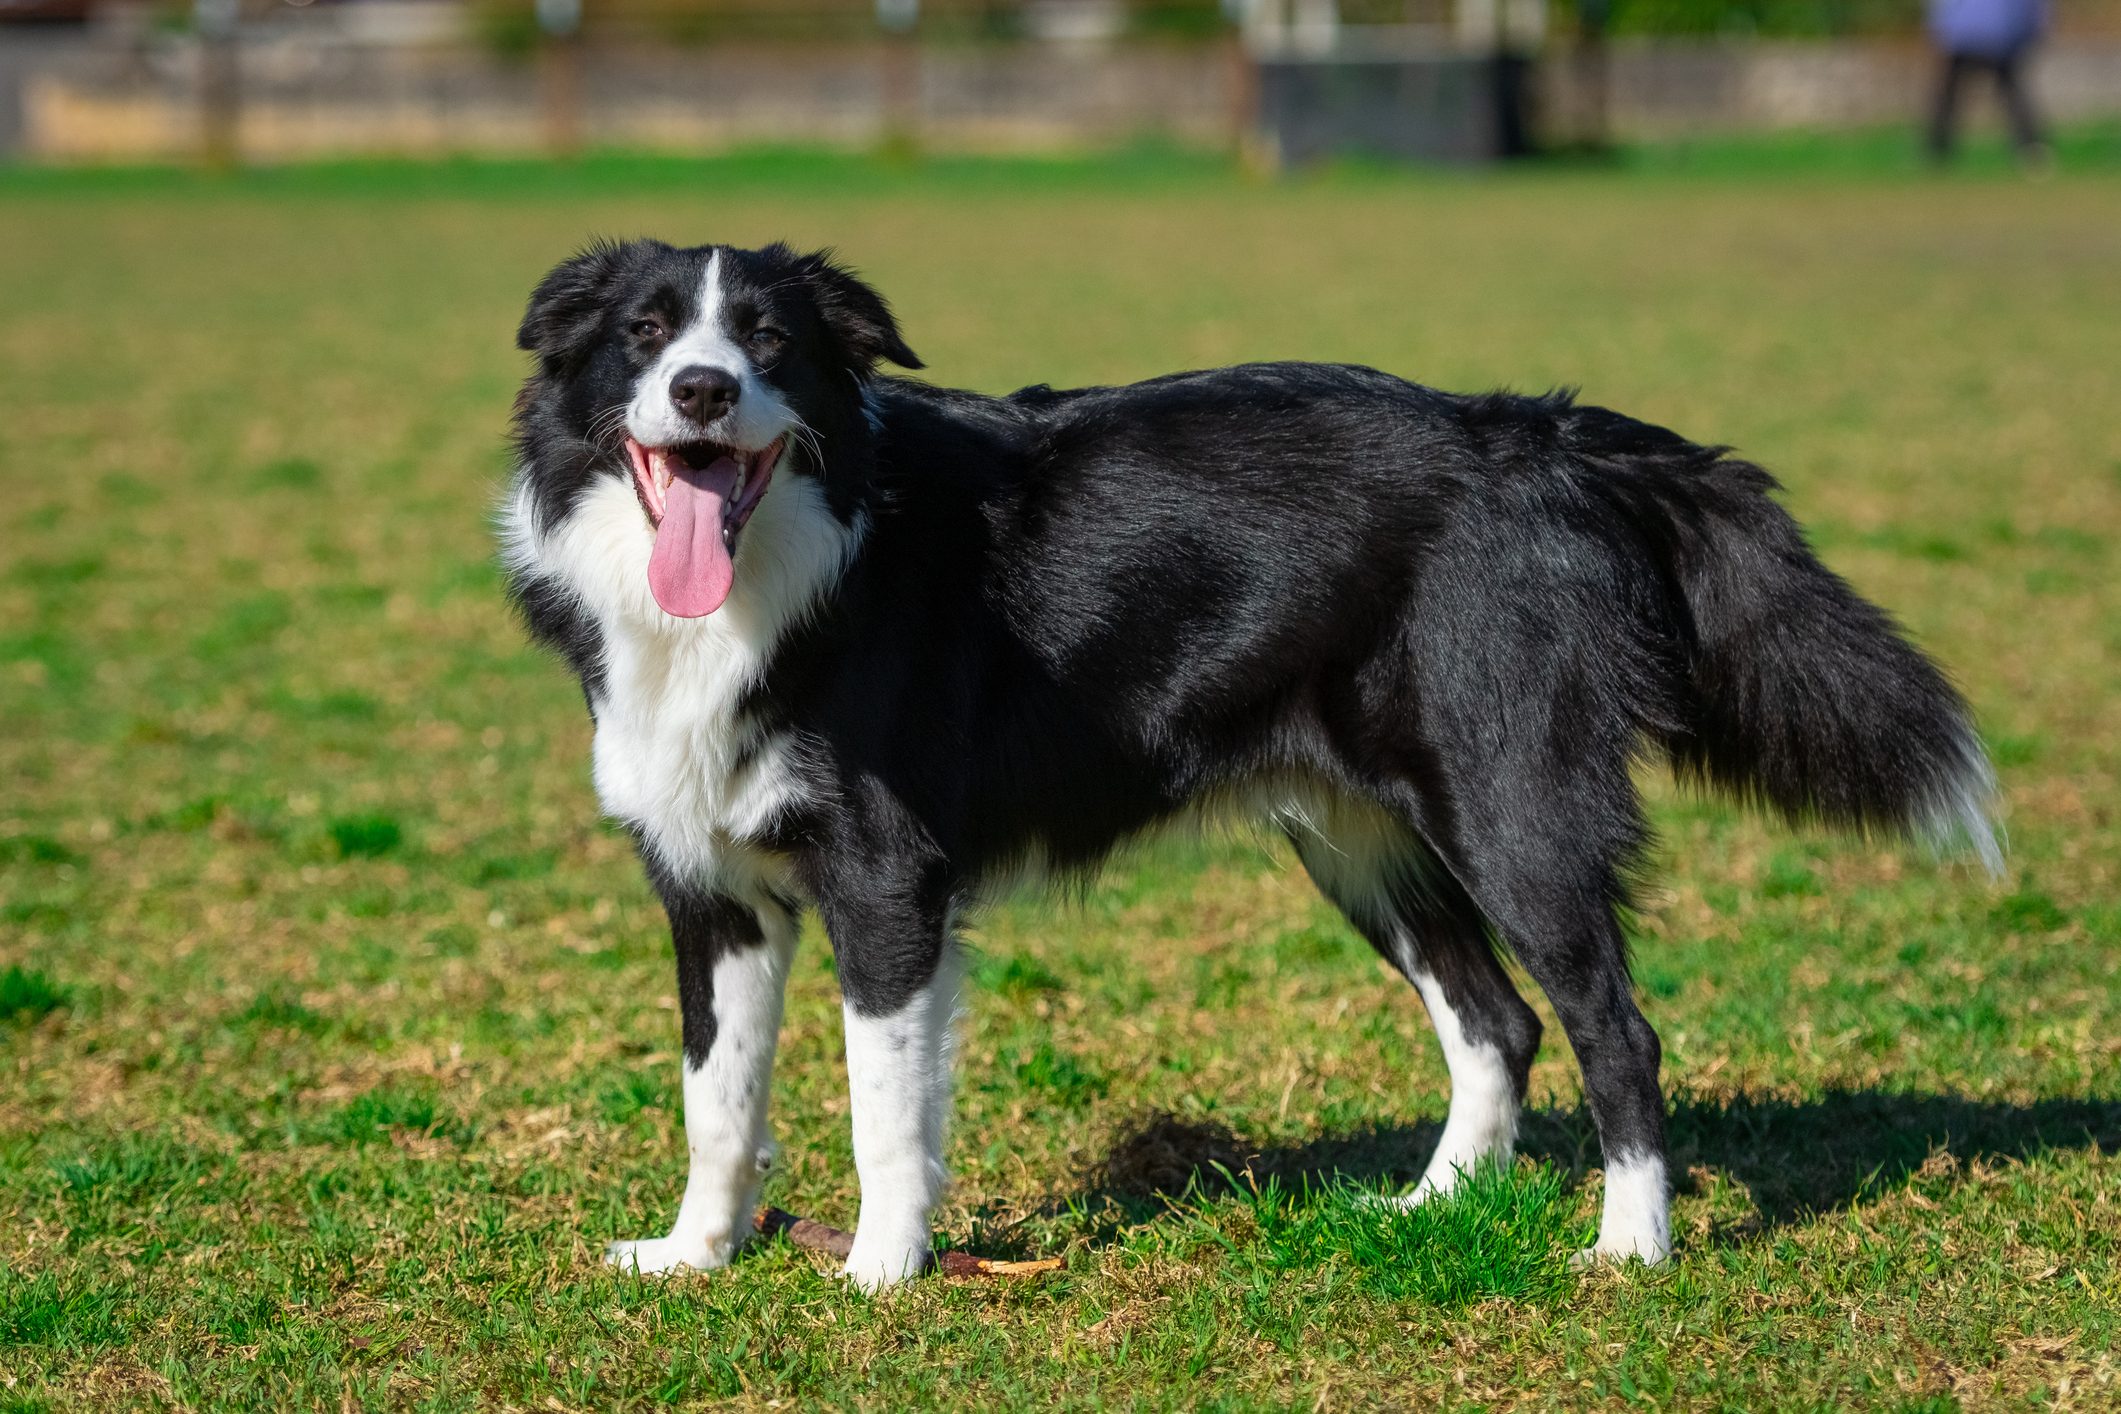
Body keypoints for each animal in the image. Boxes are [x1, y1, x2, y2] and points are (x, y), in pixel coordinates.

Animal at [504, 237, 1993, 1288]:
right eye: (645, 336)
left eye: (770, 340)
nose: (703, 389)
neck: (788, 563)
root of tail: (1541, 433)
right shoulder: (714, 894)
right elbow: (716, 1094)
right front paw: (696, 1255)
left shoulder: (887, 879)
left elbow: (884, 1099)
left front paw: (882, 1268)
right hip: (1360, 838)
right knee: (1497, 1022)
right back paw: (1432, 1209)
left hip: (1511, 803)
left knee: (1612, 1028)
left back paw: (1630, 1246)